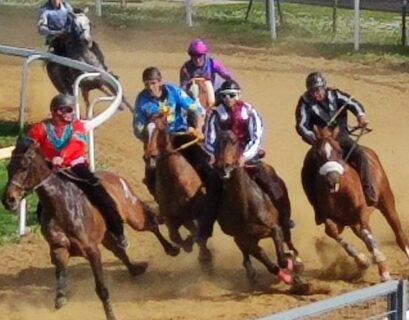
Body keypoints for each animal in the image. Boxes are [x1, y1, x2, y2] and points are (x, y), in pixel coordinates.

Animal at [0, 138, 178, 320]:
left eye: (23, 166)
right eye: (8, 167)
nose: (8, 200)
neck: (61, 206)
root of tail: (117, 177)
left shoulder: (91, 250)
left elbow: (101, 289)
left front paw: (111, 315)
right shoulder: (59, 248)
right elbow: (61, 273)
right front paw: (60, 297)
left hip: (134, 216)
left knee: (151, 225)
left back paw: (171, 248)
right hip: (106, 236)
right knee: (119, 250)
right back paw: (135, 269)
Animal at [142, 114, 212, 264]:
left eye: (161, 129)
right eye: (144, 131)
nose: (149, 157)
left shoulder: (199, 210)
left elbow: (199, 232)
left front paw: (205, 255)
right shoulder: (170, 215)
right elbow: (175, 236)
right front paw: (188, 246)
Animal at [212, 129, 302, 284]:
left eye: (234, 142)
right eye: (216, 142)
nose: (223, 167)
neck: (245, 208)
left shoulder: (275, 229)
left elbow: (282, 260)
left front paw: (293, 265)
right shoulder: (244, 239)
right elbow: (271, 265)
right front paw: (289, 278)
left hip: (283, 220)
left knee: (288, 239)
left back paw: (297, 259)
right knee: (246, 256)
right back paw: (250, 273)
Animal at [302, 126, 408, 282]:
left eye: (339, 151)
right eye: (317, 154)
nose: (332, 180)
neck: (339, 191)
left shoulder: (362, 211)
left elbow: (367, 234)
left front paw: (383, 269)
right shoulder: (332, 219)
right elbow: (332, 231)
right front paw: (363, 260)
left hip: (386, 201)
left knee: (398, 233)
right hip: (352, 222)